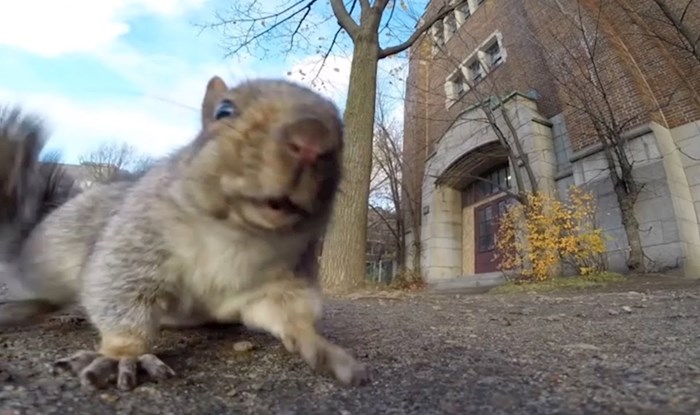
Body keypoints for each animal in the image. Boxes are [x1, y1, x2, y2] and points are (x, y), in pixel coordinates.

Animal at [0, 76, 372, 392]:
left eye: (342, 134)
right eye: (224, 111)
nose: (311, 139)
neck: (240, 237)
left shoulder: (280, 282)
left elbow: (288, 314)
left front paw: (319, 345)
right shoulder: (134, 242)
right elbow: (118, 290)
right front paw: (123, 354)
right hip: (51, 257)